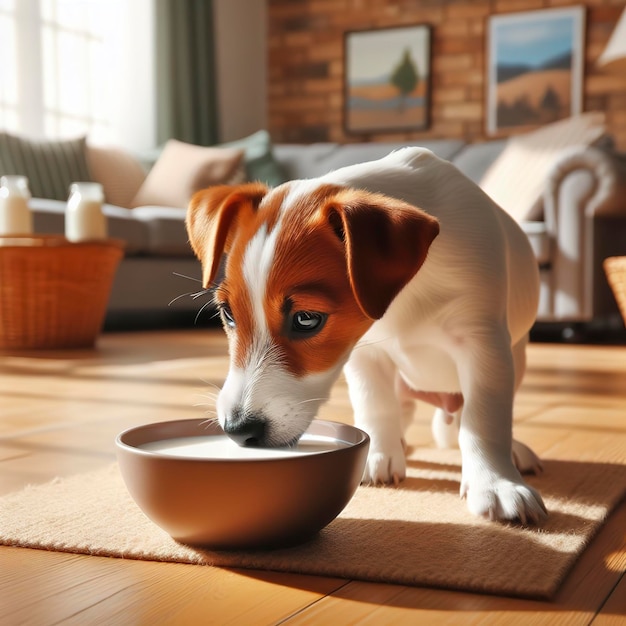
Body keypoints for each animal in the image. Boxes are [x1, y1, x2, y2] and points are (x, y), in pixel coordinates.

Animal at [186, 146, 544, 520]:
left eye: (306, 319)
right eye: (228, 313)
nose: (238, 431)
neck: (405, 297)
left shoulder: (483, 345)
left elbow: (484, 419)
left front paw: (496, 483)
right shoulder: (366, 351)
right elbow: (376, 404)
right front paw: (377, 455)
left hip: (513, 361)